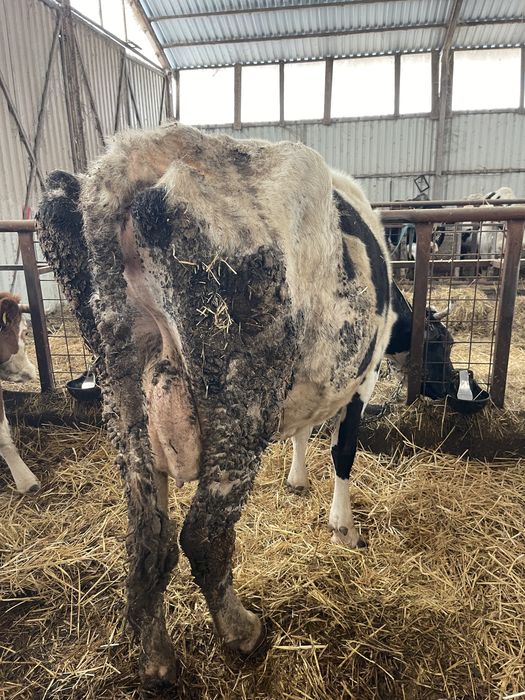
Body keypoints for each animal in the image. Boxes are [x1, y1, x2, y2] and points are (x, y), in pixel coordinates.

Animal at [36, 122, 442, 684]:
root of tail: (131, 158)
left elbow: (305, 431)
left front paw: (297, 479)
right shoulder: (364, 372)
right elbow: (343, 450)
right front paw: (343, 526)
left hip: (121, 390)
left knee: (148, 538)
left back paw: (156, 659)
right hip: (240, 397)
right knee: (204, 536)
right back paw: (242, 631)